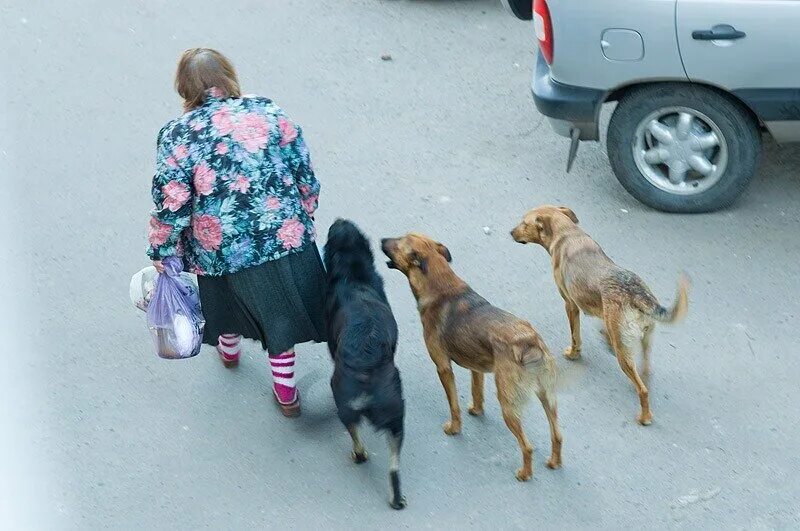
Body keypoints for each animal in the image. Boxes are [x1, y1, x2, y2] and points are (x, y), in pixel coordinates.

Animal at [322, 220, 406, 512]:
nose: (338, 220)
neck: (353, 273)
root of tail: (366, 375)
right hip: (396, 418)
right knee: (393, 468)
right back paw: (396, 498)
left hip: (350, 406)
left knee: (358, 442)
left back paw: (360, 456)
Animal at [382, 233, 564, 482]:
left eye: (398, 241)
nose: (381, 240)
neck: (440, 284)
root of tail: (529, 342)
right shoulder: (477, 368)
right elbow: (476, 392)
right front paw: (476, 411)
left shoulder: (443, 367)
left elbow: (453, 404)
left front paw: (454, 428)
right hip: (548, 398)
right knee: (557, 435)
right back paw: (554, 462)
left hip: (508, 404)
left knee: (527, 446)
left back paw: (524, 473)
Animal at [512, 206, 688, 426]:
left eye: (524, 223)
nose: (511, 232)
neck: (567, 233)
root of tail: (638, 294)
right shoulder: (604, 313)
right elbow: (603, 327)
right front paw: (604, 338)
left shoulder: (570, 305)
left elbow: (575, 336)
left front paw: (574, 354)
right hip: (644, 340)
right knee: (645, 373)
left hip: (624, 354)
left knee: (643, 390)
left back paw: (645, 417)